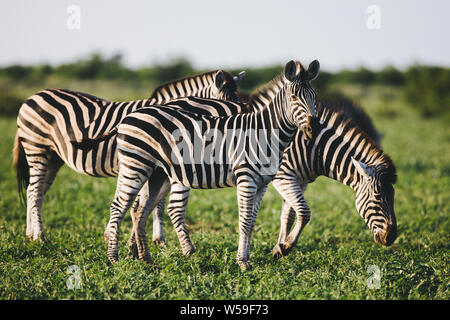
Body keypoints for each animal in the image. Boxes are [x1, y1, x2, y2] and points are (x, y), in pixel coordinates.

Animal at [14, 69, 244, 241]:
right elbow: (150, 204)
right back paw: (40, 236)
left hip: (53, 158)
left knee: (35, 191)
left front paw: (149, 239)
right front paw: (149, 239)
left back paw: (30, 234)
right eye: (228, 104)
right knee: (34, 191)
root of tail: (33, 96)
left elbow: (153, 203)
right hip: (37, 149)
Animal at [105, 60, 320, 270]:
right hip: (135, 165)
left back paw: (146, 259)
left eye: (315, 97)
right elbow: (244, 221)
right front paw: (243, 262)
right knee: (118, 207)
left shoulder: (262, 184)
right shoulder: (246, 178)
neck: (265, 134)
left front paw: (249, 259)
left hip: (157, 174)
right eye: (294, 97)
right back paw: (114, 259)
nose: (314, 128)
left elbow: (252, 222)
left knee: (139, 211)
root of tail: (130, 115)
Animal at [268, 101, 396, 258]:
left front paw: (279, 247)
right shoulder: (282, 177)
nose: (391, 237)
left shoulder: (299, 180)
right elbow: (304, 212)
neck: (314, 149)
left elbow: (289, 215)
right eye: (377, 197)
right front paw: (287, 244)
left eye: (393, 197)